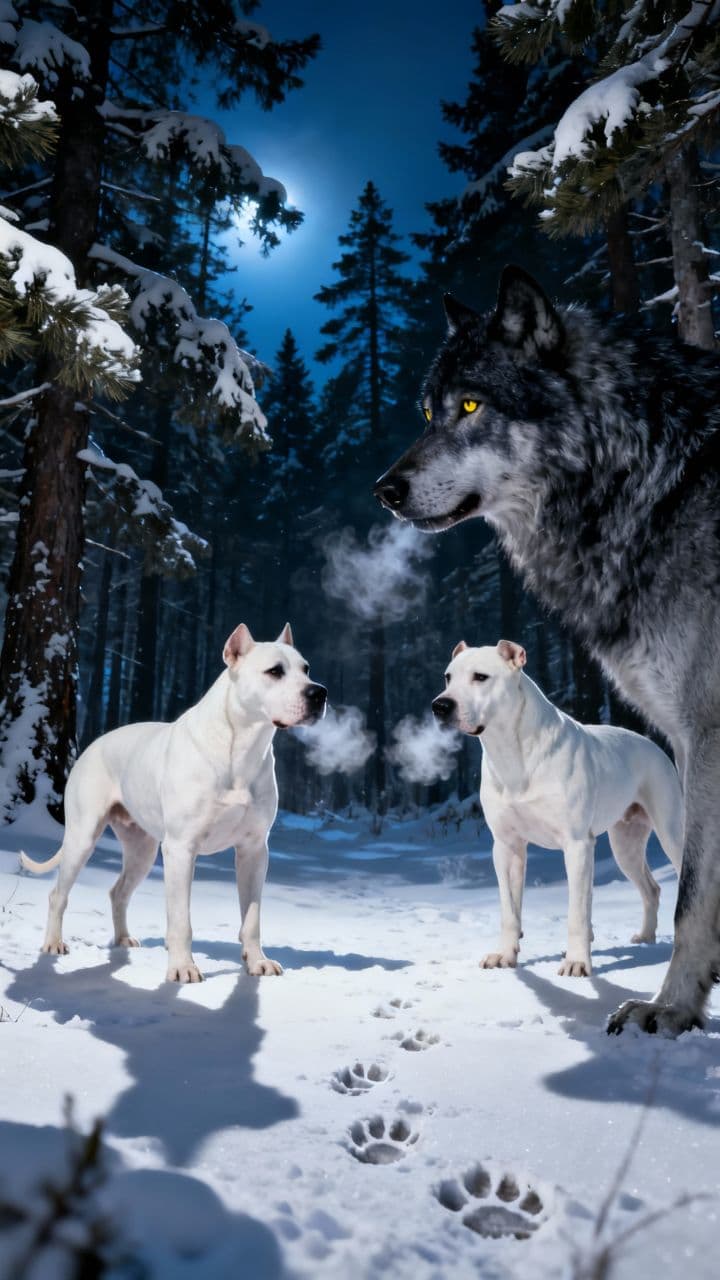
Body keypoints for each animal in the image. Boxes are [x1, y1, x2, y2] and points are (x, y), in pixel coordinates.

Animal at [21, 623, 327, 982]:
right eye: (275, 671)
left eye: (306, 669)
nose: (319, 693)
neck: (241, 747)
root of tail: (92, 745)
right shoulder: (181, 849)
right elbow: (181, 919)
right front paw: (182, 968)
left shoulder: (254, 850)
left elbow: (252, 918)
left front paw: (257, 962)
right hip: (83, 837)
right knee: (58, 894)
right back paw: (53, 944)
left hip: (142, 850)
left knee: (118, 891)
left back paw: (123, 939)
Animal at [432, 638, 683, 975]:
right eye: (448, 677)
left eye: (480, 677)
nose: (440, 705)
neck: (511, 749)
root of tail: (653, 744)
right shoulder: (507, 845)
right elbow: (509, 909)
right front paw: (504, 955)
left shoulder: (576, 844)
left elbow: (577, 912)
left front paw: (576, 962)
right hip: (625, 844)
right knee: (650, 888)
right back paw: (645, 936)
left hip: (671, 832)